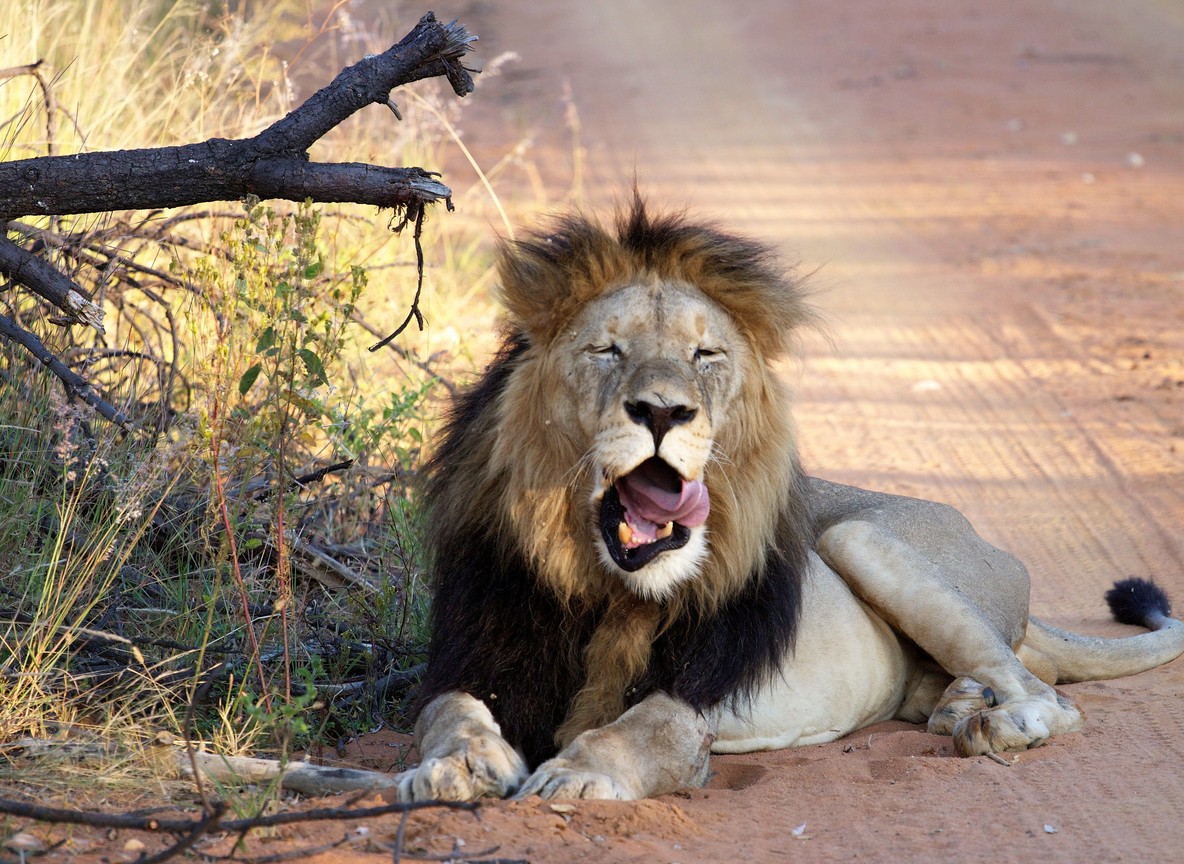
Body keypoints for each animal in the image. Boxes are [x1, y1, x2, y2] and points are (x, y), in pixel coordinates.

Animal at [395, 198, 1184, 801]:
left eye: (705, 356)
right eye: (606, 351)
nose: (662, 412)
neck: (600, 582)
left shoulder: (701, 695)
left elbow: (645, 726)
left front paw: (574, 776)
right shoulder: (476, 650)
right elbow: (447, 711)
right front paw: (454, 766)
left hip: (856, 538)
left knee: (1050, 695)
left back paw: (992, 722)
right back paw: (956, 704)